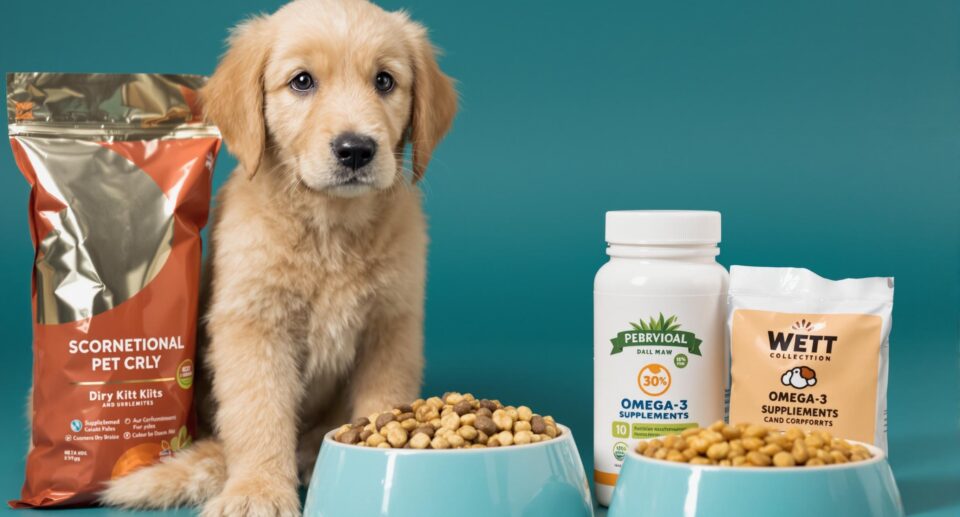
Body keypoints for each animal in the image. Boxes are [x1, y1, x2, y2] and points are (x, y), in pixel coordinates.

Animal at [101, 0, 458, 512]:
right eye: (302, 81)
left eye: (385, 81)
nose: (356, 150)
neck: (329, 229)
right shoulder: (253, 325)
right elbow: (260, 415)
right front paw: (258, 489)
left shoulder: (391, 326)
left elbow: (382, 401)